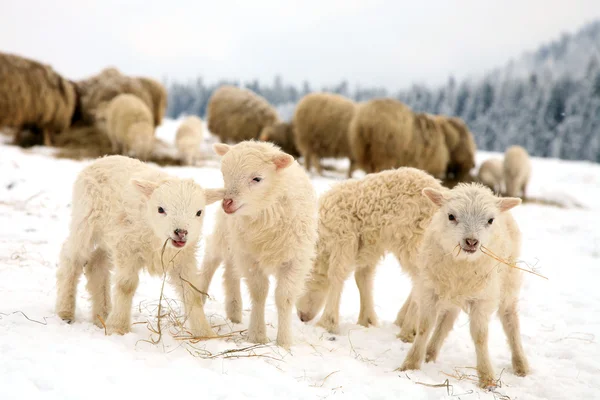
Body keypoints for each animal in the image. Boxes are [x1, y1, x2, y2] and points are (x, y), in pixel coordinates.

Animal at [55, 156, 224, 338]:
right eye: (160, 209)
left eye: (199, 212)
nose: (181, 232)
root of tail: (101, 159)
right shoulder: (127, 247)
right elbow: (126, 286)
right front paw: (118, 327)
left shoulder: (183, 257)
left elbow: (192, 293)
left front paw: (204, 333)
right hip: (85, 221)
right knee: (71, 258)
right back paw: (65, 311)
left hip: (109, 237)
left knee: (96, 265)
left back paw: (103, 315)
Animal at [198, 141, 322, 350]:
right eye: (224, 174)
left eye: (257, 178)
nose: (227, 203)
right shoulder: (250, 258)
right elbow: (259, 293)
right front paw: (257, 335)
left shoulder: (295, 260)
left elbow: (284, 298)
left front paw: (284, 342)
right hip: (225, 234)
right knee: (211, 259)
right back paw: (198, 296)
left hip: (235, 242)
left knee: (230, 272)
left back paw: (234, 311)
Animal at [294, 166, 440, 340]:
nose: (302, 317)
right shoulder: (368, 246)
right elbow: (363, 278)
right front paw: (367, 320)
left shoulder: (343, 238)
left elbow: (336, 275)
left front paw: (327, 323)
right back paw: (403, 320)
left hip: (413, 242)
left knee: (421, 280)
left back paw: (408, 330)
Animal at [400, 184, 528, 388]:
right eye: (451, 216)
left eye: (490, 220)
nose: (471, 242)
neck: (462, 265)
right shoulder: (429, 290)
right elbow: (424, 327)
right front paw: (411, 364)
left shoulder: (482, 299)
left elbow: (480, 336)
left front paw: (487, 377)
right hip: (451, 293)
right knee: (446, 320)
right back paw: (430, 353)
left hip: (508, 281)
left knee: (510, 319)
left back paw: (520, 364)